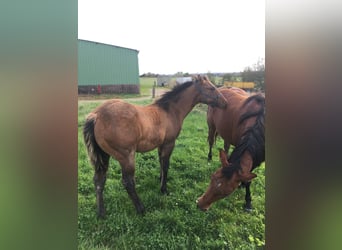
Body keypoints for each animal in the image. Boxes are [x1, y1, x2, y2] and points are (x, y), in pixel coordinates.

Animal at [83, 74, 227, 217]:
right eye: (211, 88)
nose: (225, 103)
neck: (170, 111)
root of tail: (96, 116)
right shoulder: (169, 143)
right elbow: (166, 165)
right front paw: (164, 189)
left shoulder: (160, 145)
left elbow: (161, 163)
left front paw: (160, 179)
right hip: (126, 156)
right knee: (128, 182)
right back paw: (141, 209)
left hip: (104, 155)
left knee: (99, 180)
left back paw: (101, 213)